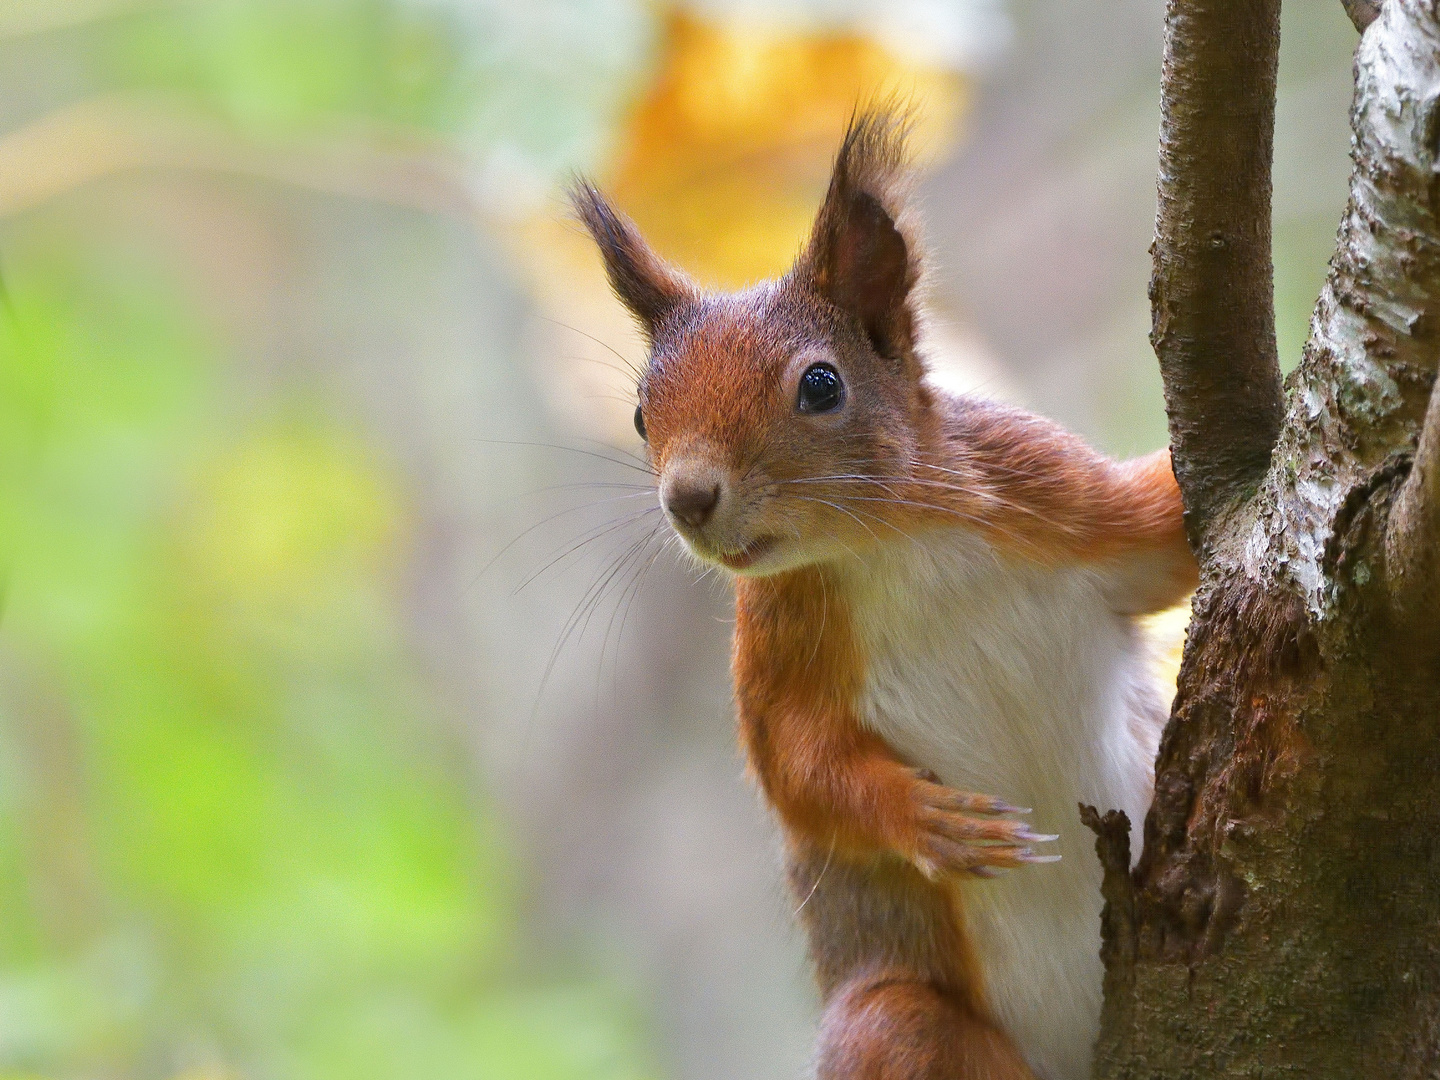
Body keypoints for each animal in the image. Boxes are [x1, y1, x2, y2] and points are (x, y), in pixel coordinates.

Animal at [570, 112, 1192, 1080]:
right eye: (641, 414)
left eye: (821, 384)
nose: (688, 498)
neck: (894, 546)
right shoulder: (777, 644)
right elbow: (797, 769)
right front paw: (930, 822)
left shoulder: (1051, 492)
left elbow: (1165, 538)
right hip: (910, 1027)